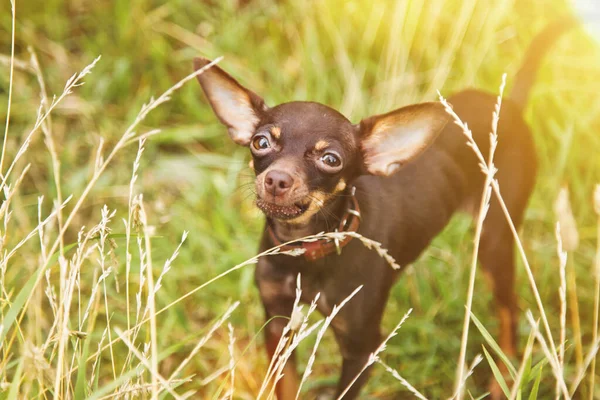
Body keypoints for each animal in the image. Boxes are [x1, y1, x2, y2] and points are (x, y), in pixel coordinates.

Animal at [193, 17, 576, 398]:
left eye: (331, 159)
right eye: (261, 142)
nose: (276, 180)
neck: (308, 249)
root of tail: (508, 105)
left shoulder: (362, 349)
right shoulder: (278, 323)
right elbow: (285, 385)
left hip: (494, 237)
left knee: (509, 308)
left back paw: (505, 380)